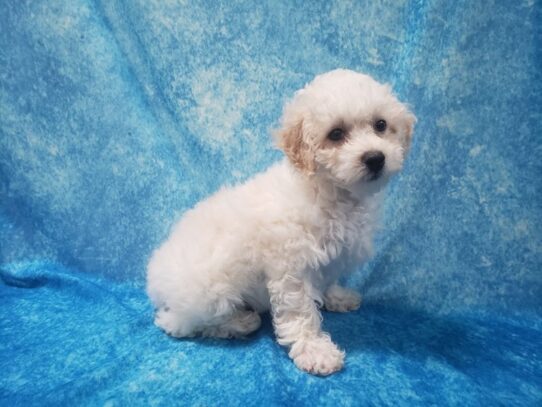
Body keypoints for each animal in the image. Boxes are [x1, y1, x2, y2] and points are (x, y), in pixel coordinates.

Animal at [146, 69, 416, 376]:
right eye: (336, 134)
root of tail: (155, 279)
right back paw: (239, 322)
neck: (331, 192)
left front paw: (337, 297)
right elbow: (300, 313)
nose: (375, 158)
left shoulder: (332, 256)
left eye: (380, 125)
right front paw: (315, 351)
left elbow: (329, 279)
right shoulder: (291, 265)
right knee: (177, 323)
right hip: (209, 289)